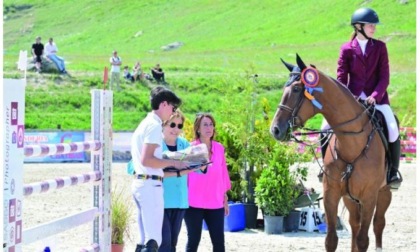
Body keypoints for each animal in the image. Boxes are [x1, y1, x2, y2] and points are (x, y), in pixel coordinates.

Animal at [270, 54, 392, 251]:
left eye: (296, 89)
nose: (275, 130)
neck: (352, 145)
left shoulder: (369, 196)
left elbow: (363, 240)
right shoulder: (331, 194)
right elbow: (331, 239)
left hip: (384, 192)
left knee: (378, 224)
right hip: (350, 199)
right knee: (354, 224)